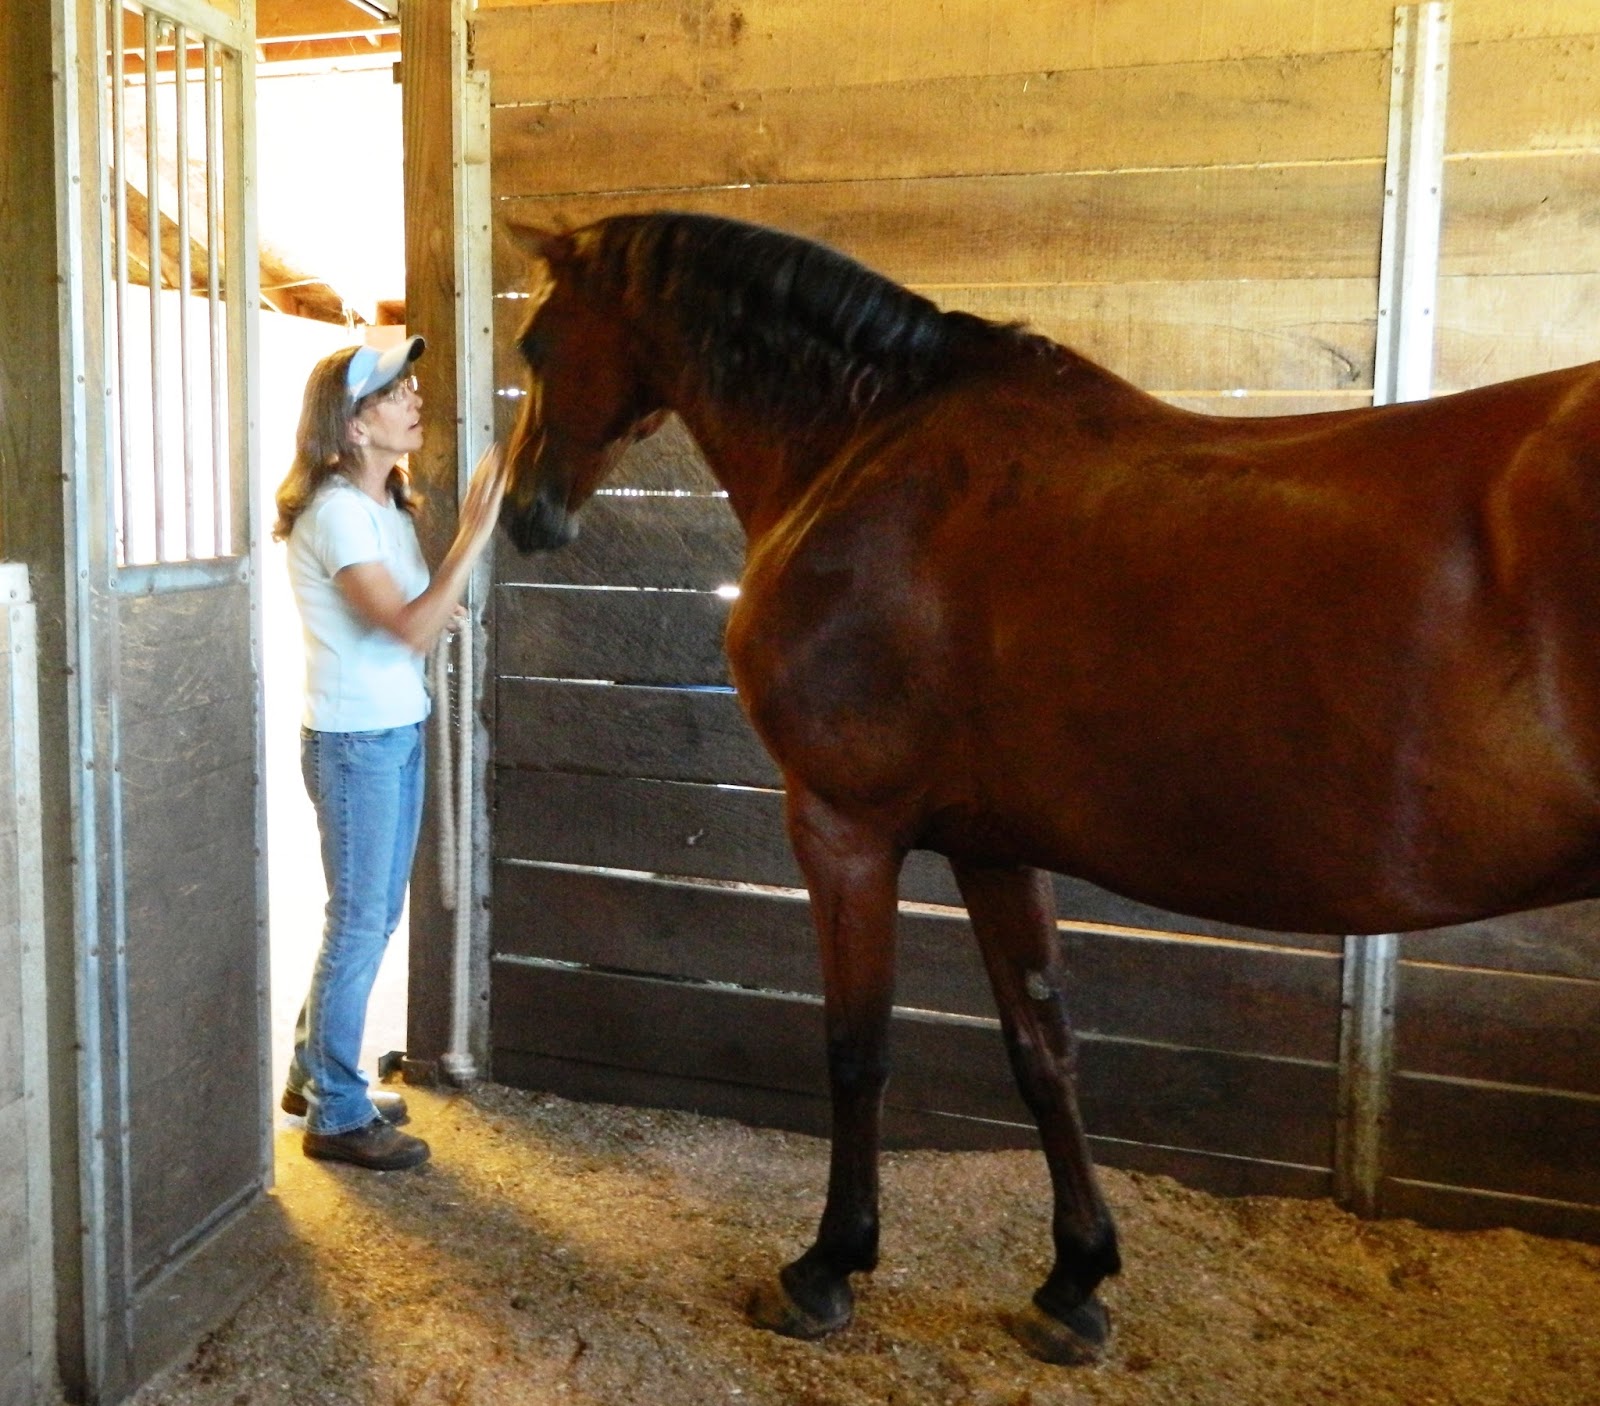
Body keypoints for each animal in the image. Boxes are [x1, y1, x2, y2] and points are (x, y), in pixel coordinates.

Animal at [498, 210, 1600, 1364]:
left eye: (535, 345)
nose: (526, 511)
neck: (871, 445)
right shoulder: (995, 846)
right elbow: (1044, 1050)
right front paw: (1074, 1279)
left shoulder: (845, 828)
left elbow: (858, 1046)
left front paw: (827, 1266)